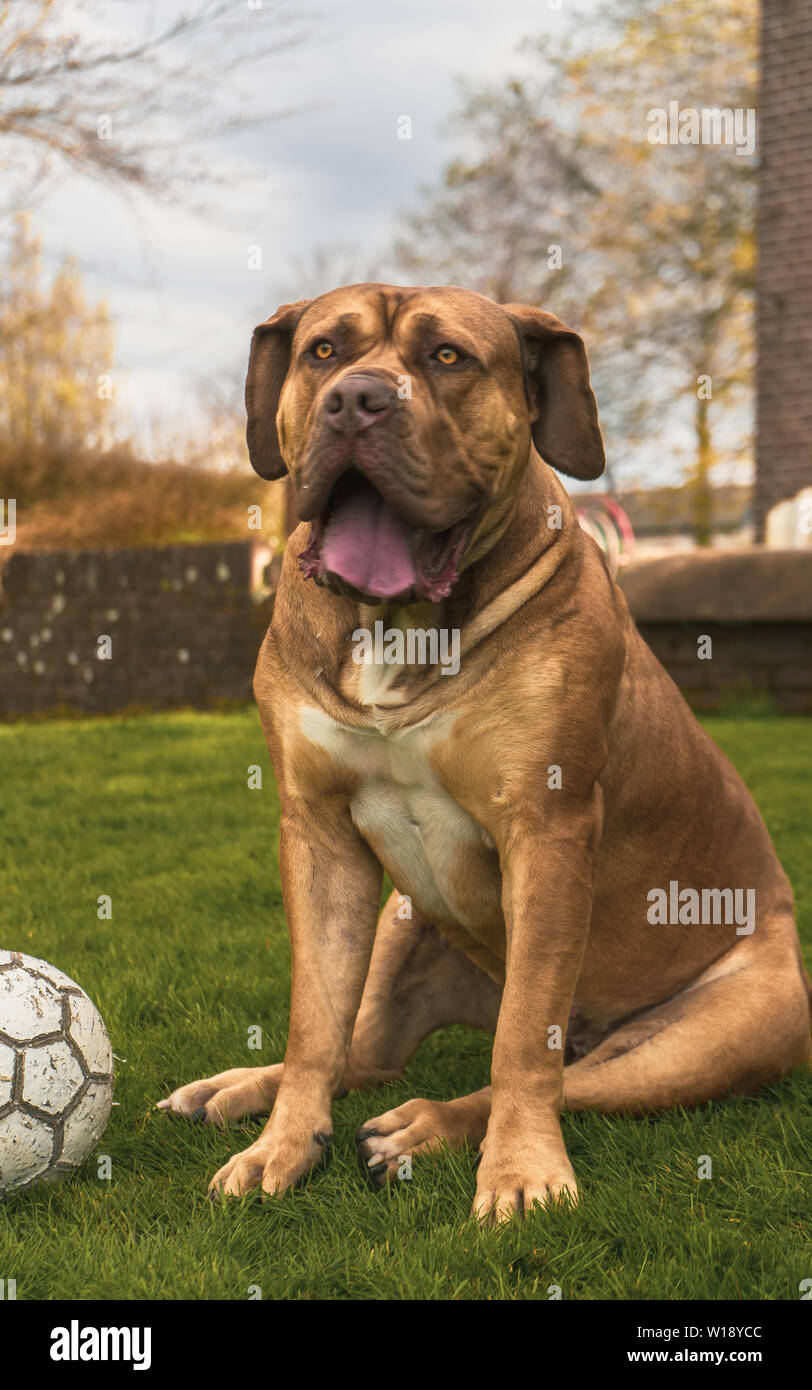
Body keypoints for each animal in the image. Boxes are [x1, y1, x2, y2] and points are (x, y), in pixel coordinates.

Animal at [159, 287, 811, 1223]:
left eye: (448, 359)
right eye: (323, 352)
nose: (358, 400)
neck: (401, 627)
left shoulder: (547, 830)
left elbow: (521, 1048)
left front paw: (522, 1172)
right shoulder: (318, 834)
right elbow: (315, 1023)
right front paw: (280, 1146)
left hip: (696, 1042)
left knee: (556, 1073)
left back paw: (422, 1128)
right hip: (402, 925)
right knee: (365, 1051)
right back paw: (241, 1088)